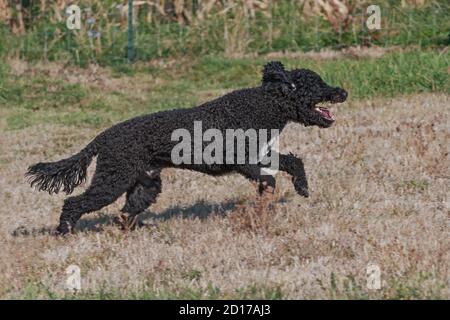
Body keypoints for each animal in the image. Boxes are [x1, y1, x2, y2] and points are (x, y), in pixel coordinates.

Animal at [25, 61, 348, 234]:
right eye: (316, 85)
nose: (342, 91)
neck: (263, 105)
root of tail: (103, 136)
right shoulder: (243, 161)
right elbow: (268, 179)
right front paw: (263, 199)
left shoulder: (262, 153)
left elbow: (293, 163)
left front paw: (302, 187)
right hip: (112, 179)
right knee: (74, 203)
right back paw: (64, 232)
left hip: (145, 185)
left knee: (125, 212)